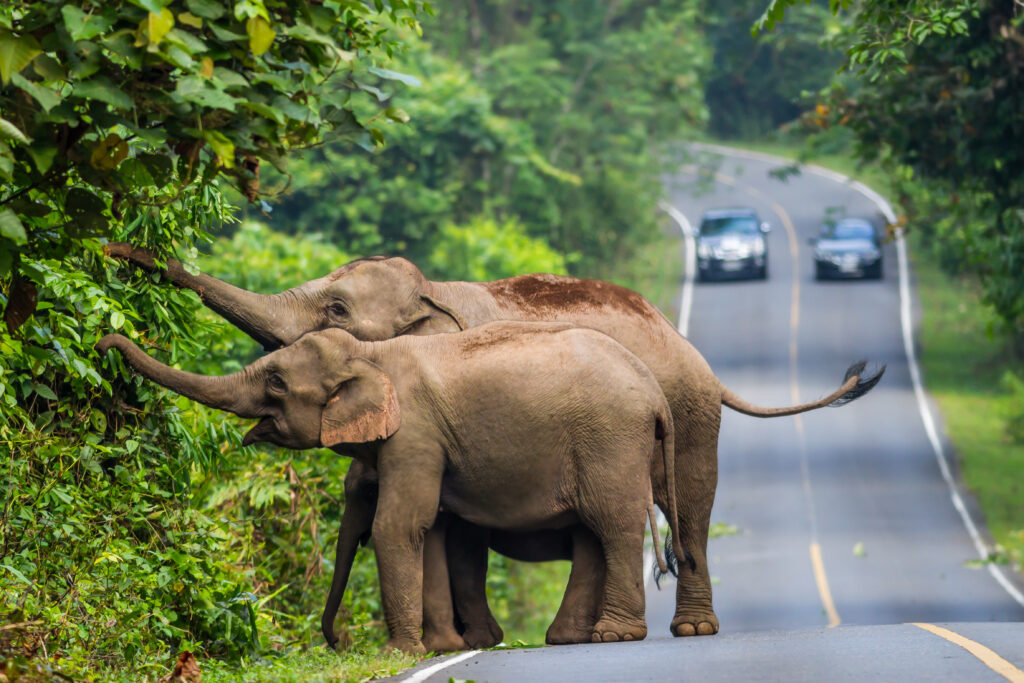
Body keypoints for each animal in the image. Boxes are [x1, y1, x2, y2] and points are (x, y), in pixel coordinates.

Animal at [96, 323, 684, 655]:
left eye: (277, 383)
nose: (103, 342)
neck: (369, 353)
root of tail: (656, 394)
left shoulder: (416, 433)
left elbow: (400, 525)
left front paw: (397, 654)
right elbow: (433, 529)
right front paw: (438, 648)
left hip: (609, 438)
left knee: (612, 526)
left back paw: (614, 638)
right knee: (592, 531)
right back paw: (571, 639)